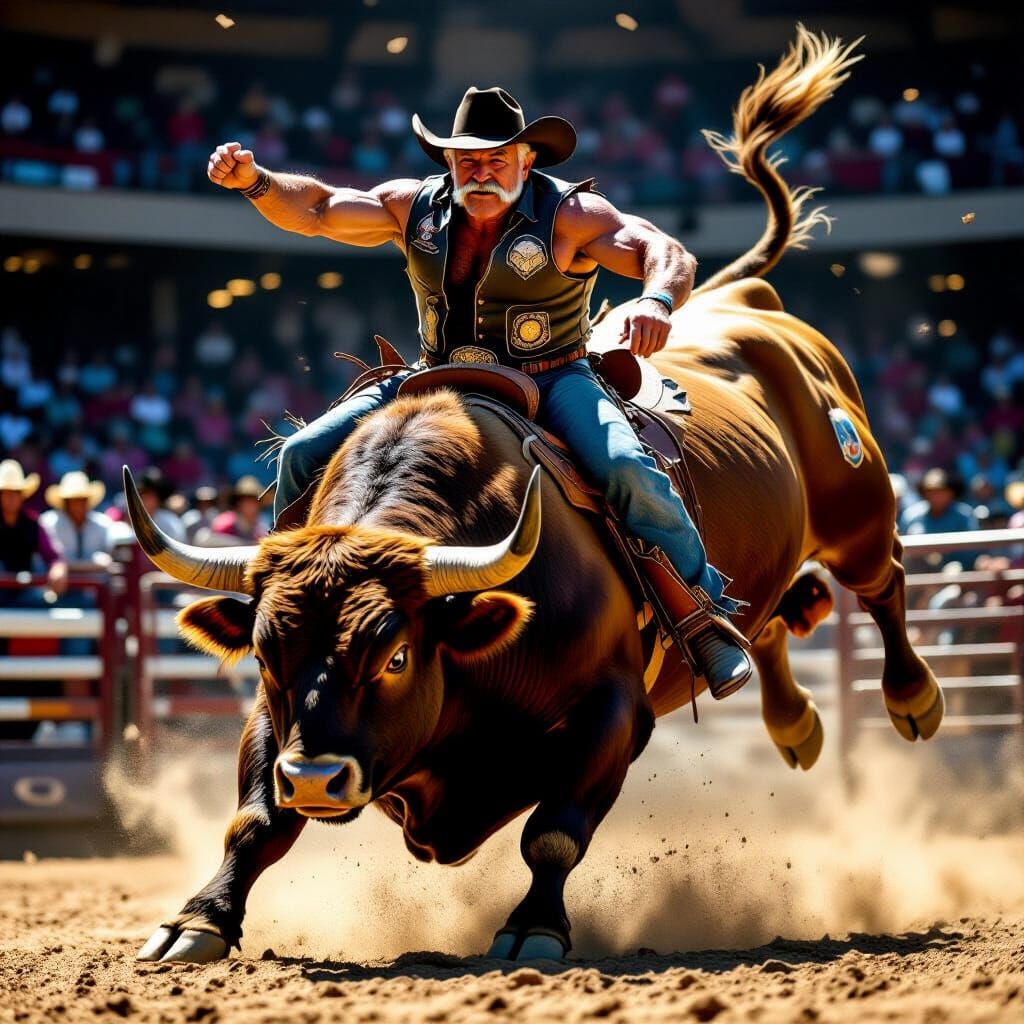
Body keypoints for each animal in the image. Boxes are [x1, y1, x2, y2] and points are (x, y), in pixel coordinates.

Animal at [132, 26, 942, 964]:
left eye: (396, 654)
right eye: (263, 651)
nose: (320, 780)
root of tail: (742, 301)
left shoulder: (613, 712)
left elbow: (553, 831)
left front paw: (533, 929)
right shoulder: (277, 721)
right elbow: (255, 820)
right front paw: (200, 919)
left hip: (857, 509)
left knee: (880, 585)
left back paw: (911, 697)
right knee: (770, 616)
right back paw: (795, 723)